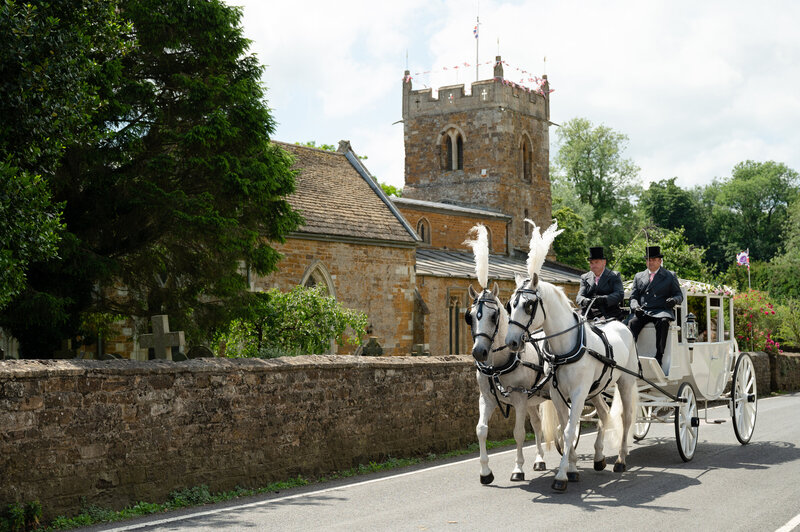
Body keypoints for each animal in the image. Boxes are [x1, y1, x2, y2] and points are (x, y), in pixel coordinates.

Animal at [462, 284, 556, 484]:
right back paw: (539, 459)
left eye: (493, 316)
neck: (498, 365)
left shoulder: (519, 399)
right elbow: (481, 430)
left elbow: (518, 433)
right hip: (532, 400)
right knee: (537, 424)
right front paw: (485, 472)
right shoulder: (487, 399)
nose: (479, 352)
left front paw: (518, 468)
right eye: (470, 317)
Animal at [506, 274, 636, 490]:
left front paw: (561, 476)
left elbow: (568, 432)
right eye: (510, 305)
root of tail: (622, 326)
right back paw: (599, 458)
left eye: (529, 305)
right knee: (604, 413)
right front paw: (572, 468)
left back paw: (620, 460)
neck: (564, 348)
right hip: (596, 390)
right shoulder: (558, 395)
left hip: (626, 382)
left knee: (626, 418)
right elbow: (565, 428)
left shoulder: (578, 394)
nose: (511, 342)